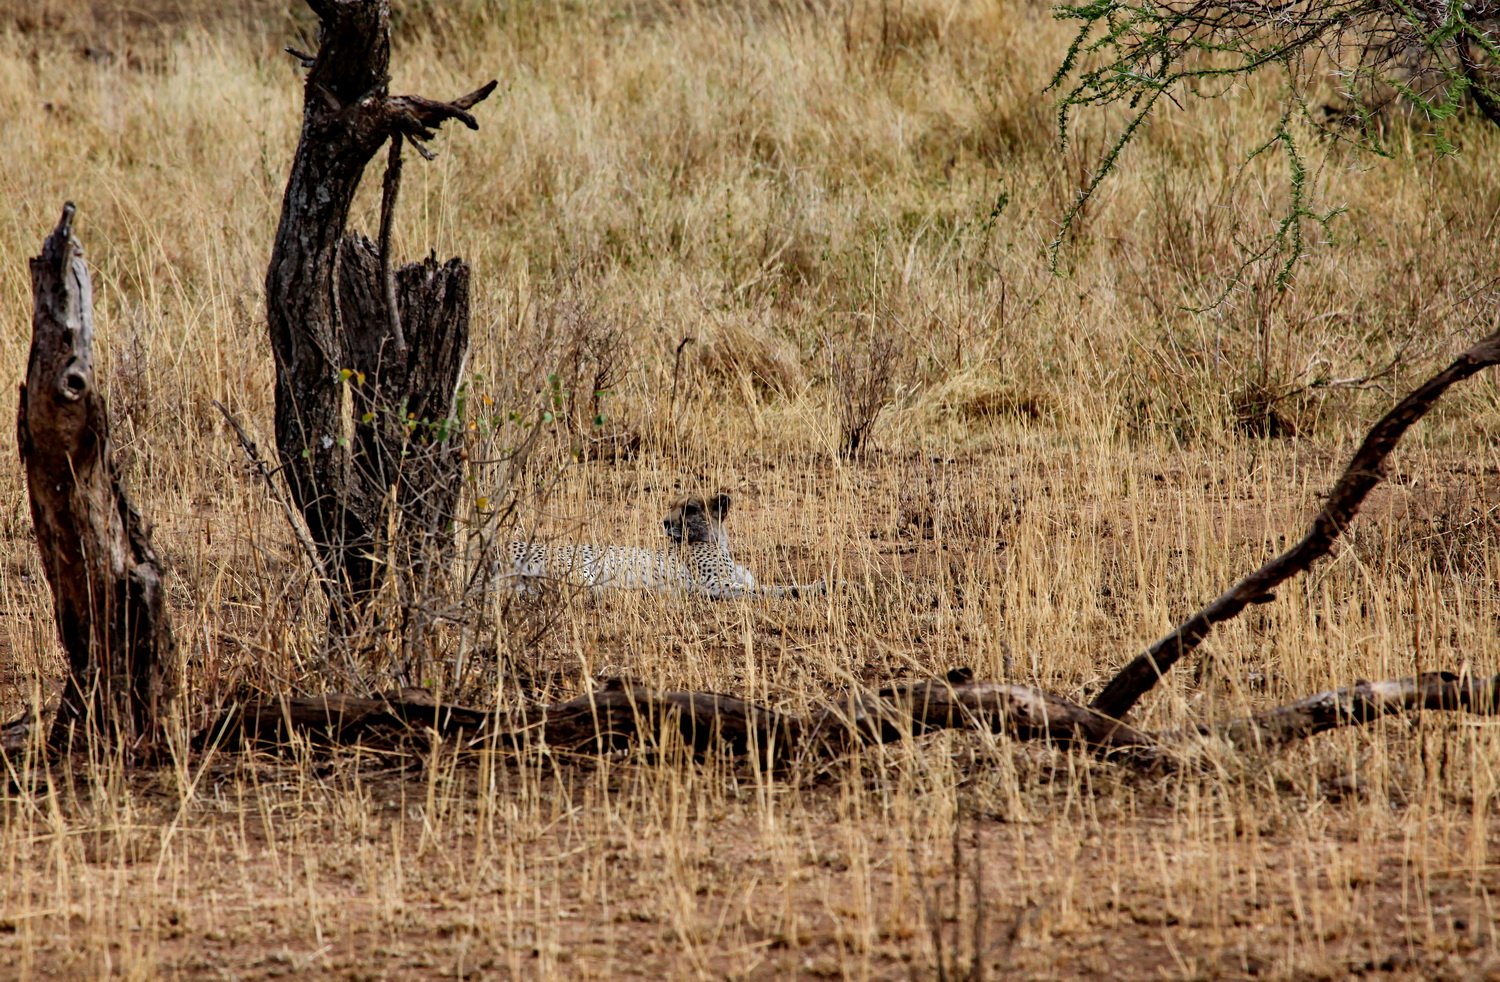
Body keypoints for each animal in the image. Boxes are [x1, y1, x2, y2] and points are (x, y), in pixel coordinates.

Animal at [510, 491, 828, 599]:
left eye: (689, 509)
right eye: (671, 506)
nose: (664, 522)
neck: (716, 542)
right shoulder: (713, 586)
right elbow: (769, 590)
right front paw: (819, 587)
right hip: (581, 570)